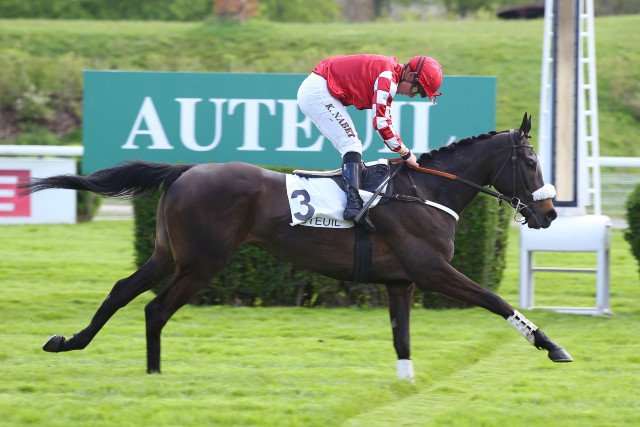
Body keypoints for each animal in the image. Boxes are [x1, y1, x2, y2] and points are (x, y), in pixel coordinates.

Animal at [23, 113, 572, 379]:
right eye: (531, 162)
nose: (548, 213)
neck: (424, 191)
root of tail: (186, 170)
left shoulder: (401, 282)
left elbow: (402, 339)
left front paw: (406, 386)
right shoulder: (432, 270)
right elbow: (496, 299)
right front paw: (552, 346)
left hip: (167, 254)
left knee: (122, 291)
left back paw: (68, 342)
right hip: (201, 263)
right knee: (156, 309)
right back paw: (154, 374)